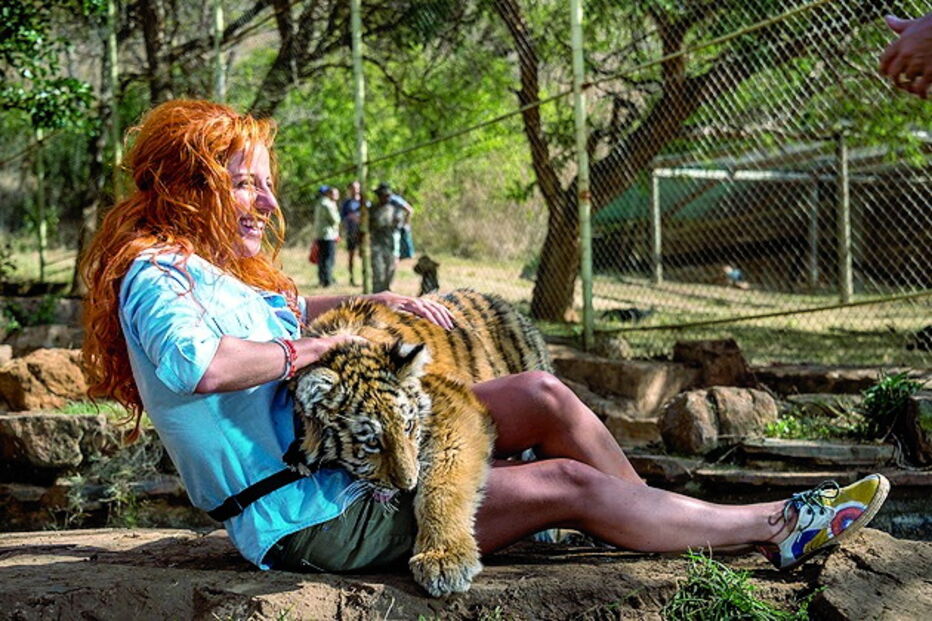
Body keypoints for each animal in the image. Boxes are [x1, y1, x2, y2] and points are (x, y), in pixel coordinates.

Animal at [283, 289, 551, 597]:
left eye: (409, 426)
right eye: (372, 442)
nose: (408, 485)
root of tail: (500, 300)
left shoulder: (455, 410)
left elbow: (443, 486)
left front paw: (445, 560)